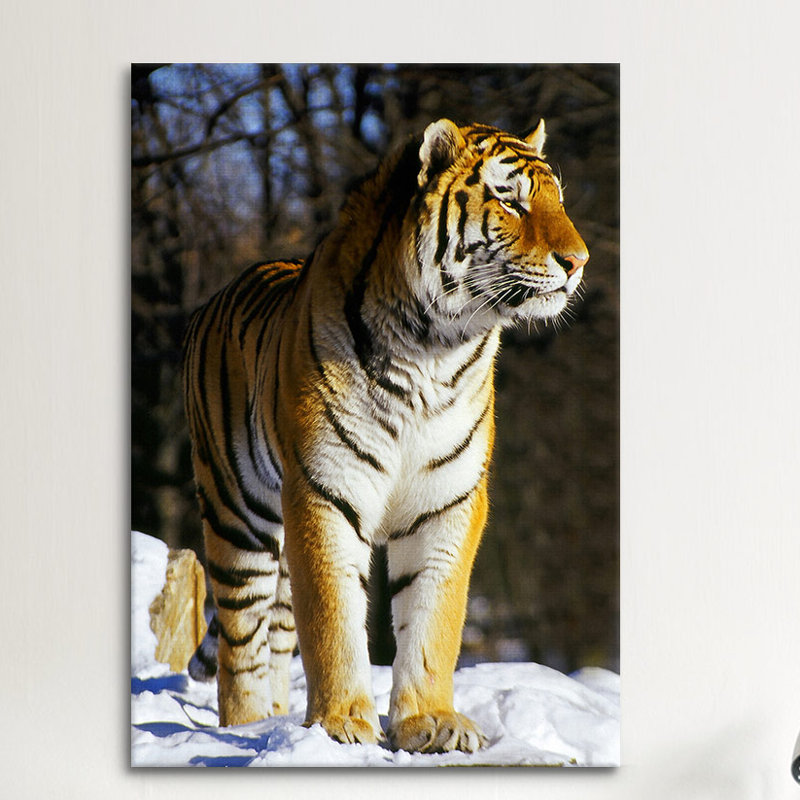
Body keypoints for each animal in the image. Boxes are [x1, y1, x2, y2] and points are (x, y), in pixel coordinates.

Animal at [182, 118, 588, 754]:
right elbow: (333, 618)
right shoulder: (324, 489)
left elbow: (433, 618)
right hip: (235, 515)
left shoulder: (448, 499)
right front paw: (343, 724)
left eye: (559, 201)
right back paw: (248, 727)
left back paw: (275, 722)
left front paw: (431, 721)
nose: (579, 261)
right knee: (240, 639)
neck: (434, 350)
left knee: (277, 632)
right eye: (509, 199)